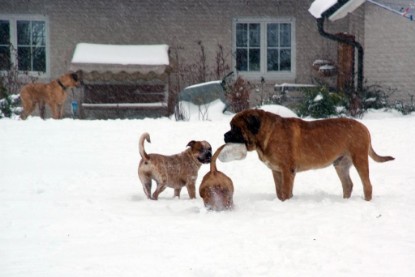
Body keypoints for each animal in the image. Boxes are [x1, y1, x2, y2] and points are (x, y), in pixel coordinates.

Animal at [226, 109, 394, 202]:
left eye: (235, 128)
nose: (224, 135)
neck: (266, 133)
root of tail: (364, 127)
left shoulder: (287, 171)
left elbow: (285, 191)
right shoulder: (276, 171)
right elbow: (279, 191)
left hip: (359, 159)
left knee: (367, 185)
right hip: (340, 164)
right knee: (348, 184)